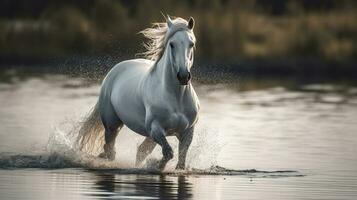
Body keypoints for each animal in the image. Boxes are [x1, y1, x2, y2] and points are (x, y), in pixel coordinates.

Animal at [77, 16, 199, 170]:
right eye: (172, 44)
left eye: (191, 44)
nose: (183, 76)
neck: (175, 99)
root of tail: (116, 70)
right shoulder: (155, 129)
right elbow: (168, 153)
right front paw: (156, 165)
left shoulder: (187, 132)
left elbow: (180, 162)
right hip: (112, 125)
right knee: (110, 150)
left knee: (138, 150)